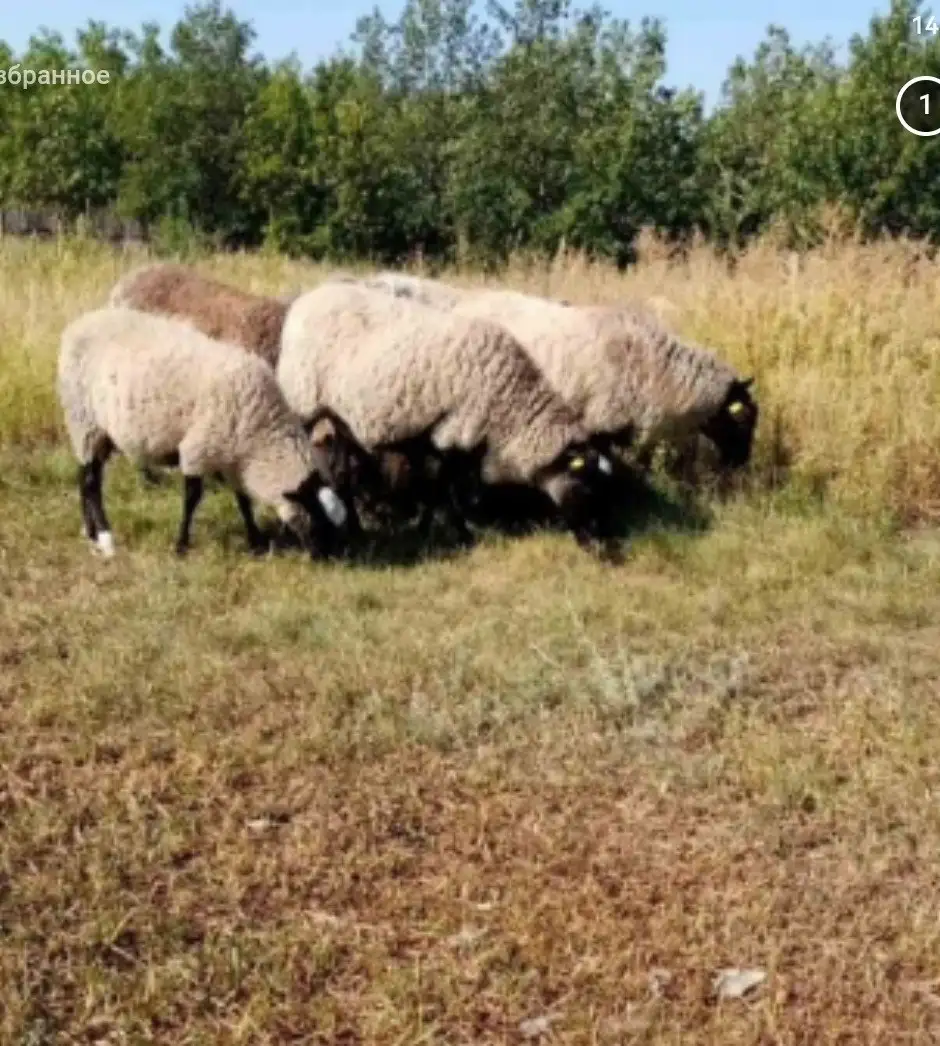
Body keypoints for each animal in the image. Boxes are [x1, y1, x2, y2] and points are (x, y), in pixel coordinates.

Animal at [58, 306, 351, 560]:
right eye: (317, 520)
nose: (329, 558)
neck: (260, 436)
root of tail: (80, 323)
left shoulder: (233, 459)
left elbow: (244, 501)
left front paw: (255, 541)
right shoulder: (197, 450)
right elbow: (192, 499)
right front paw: (181, 546)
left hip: (96, 432)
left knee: (86, 476)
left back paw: (91, 532)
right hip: (84, 420)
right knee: (90, 482)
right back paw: (105, 538)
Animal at [277, 280, 616, 550]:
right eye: (587, 487)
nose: (600, 546)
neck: (509, 405)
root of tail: (309, 298)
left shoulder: (458, 439)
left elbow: (438, 489)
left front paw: (428, 528)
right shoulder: (450, 434)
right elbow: (443, 488)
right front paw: (459, 535)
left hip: (340, 416)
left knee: (342, 471)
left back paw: (357, 529)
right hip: (303, 399)